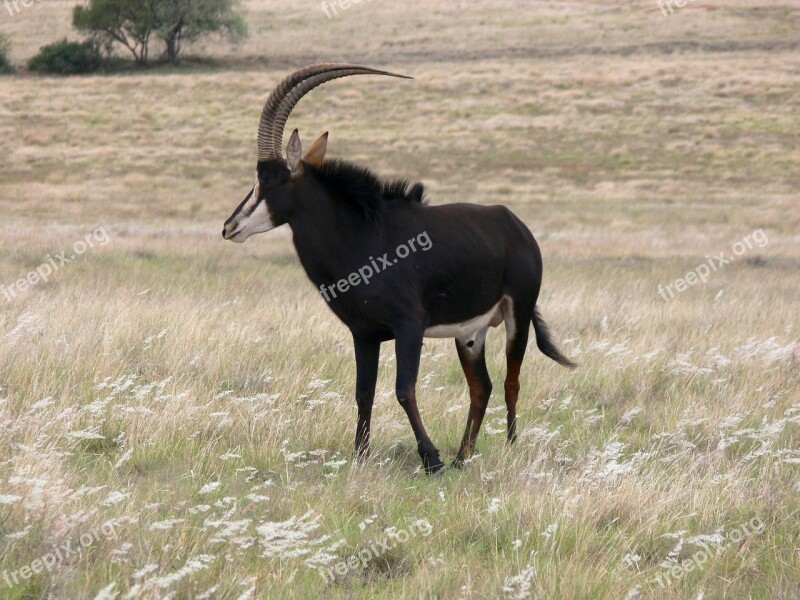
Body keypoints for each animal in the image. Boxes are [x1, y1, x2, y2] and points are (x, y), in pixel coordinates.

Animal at [225, 63, 576, 472]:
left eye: (265, 178)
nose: (229, 227)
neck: (362, 233)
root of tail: (516, 225)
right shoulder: (364, 334)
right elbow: (364, 392)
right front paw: (361, 456)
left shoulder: (409, 327)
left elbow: (404, 390)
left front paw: (431, 458)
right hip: (469, 333)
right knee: (482, 387)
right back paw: (463, 458)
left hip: (517, 313)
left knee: (510, 383)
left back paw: (508, 448)